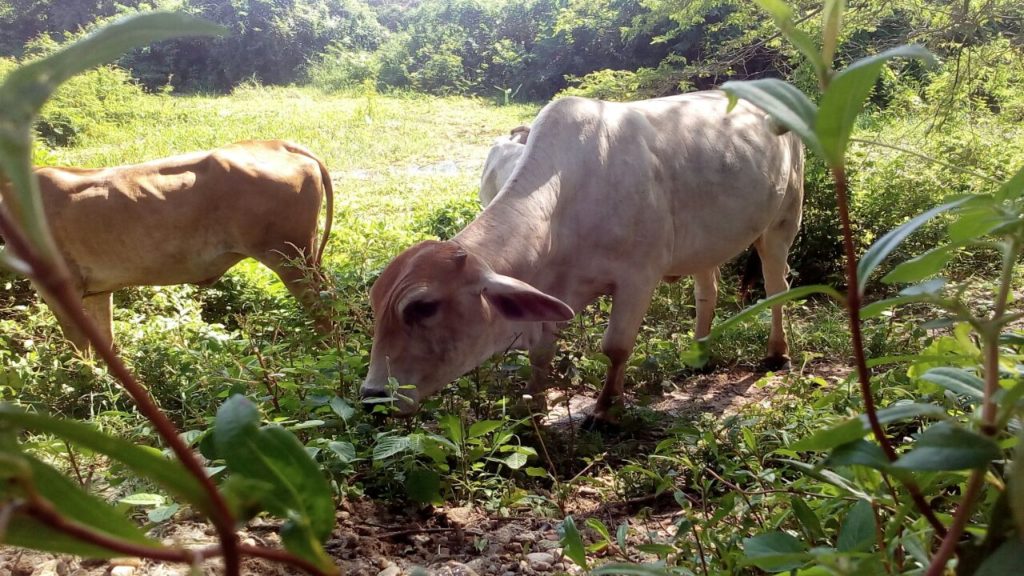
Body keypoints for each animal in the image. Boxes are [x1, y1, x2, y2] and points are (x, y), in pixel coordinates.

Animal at [27, 140, 334, 352]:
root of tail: (278, 143)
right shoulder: (97, 291)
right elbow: (105, 341)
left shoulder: (60, 287)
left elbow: (80, 346)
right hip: (305, 255)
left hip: (289, 258)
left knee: (324, 311)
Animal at [362, 91, 804, 427]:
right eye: (376, 305)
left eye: (424, 307)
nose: (372, 397)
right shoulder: (548, 292)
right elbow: (541, 352)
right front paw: (533, 407)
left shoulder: (638, 277)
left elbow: (616, 347)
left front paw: (605, 409)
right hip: (707, 241)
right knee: (706, 288)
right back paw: (698, 354)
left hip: (783, 220)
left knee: (776, 287)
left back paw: (776, 352)